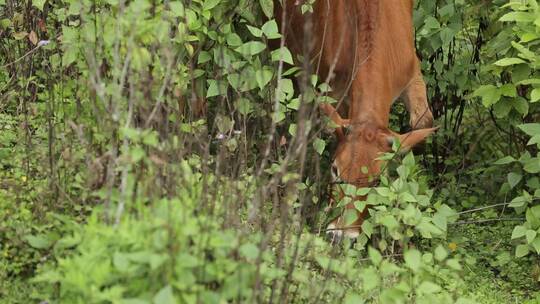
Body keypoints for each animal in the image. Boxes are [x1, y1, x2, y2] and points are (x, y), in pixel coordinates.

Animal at [276, 0, 436, 239]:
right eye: (335, 169)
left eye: (377, 180)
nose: (342, 235)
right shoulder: (334, 90)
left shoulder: (411, 71)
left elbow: (423, 124)